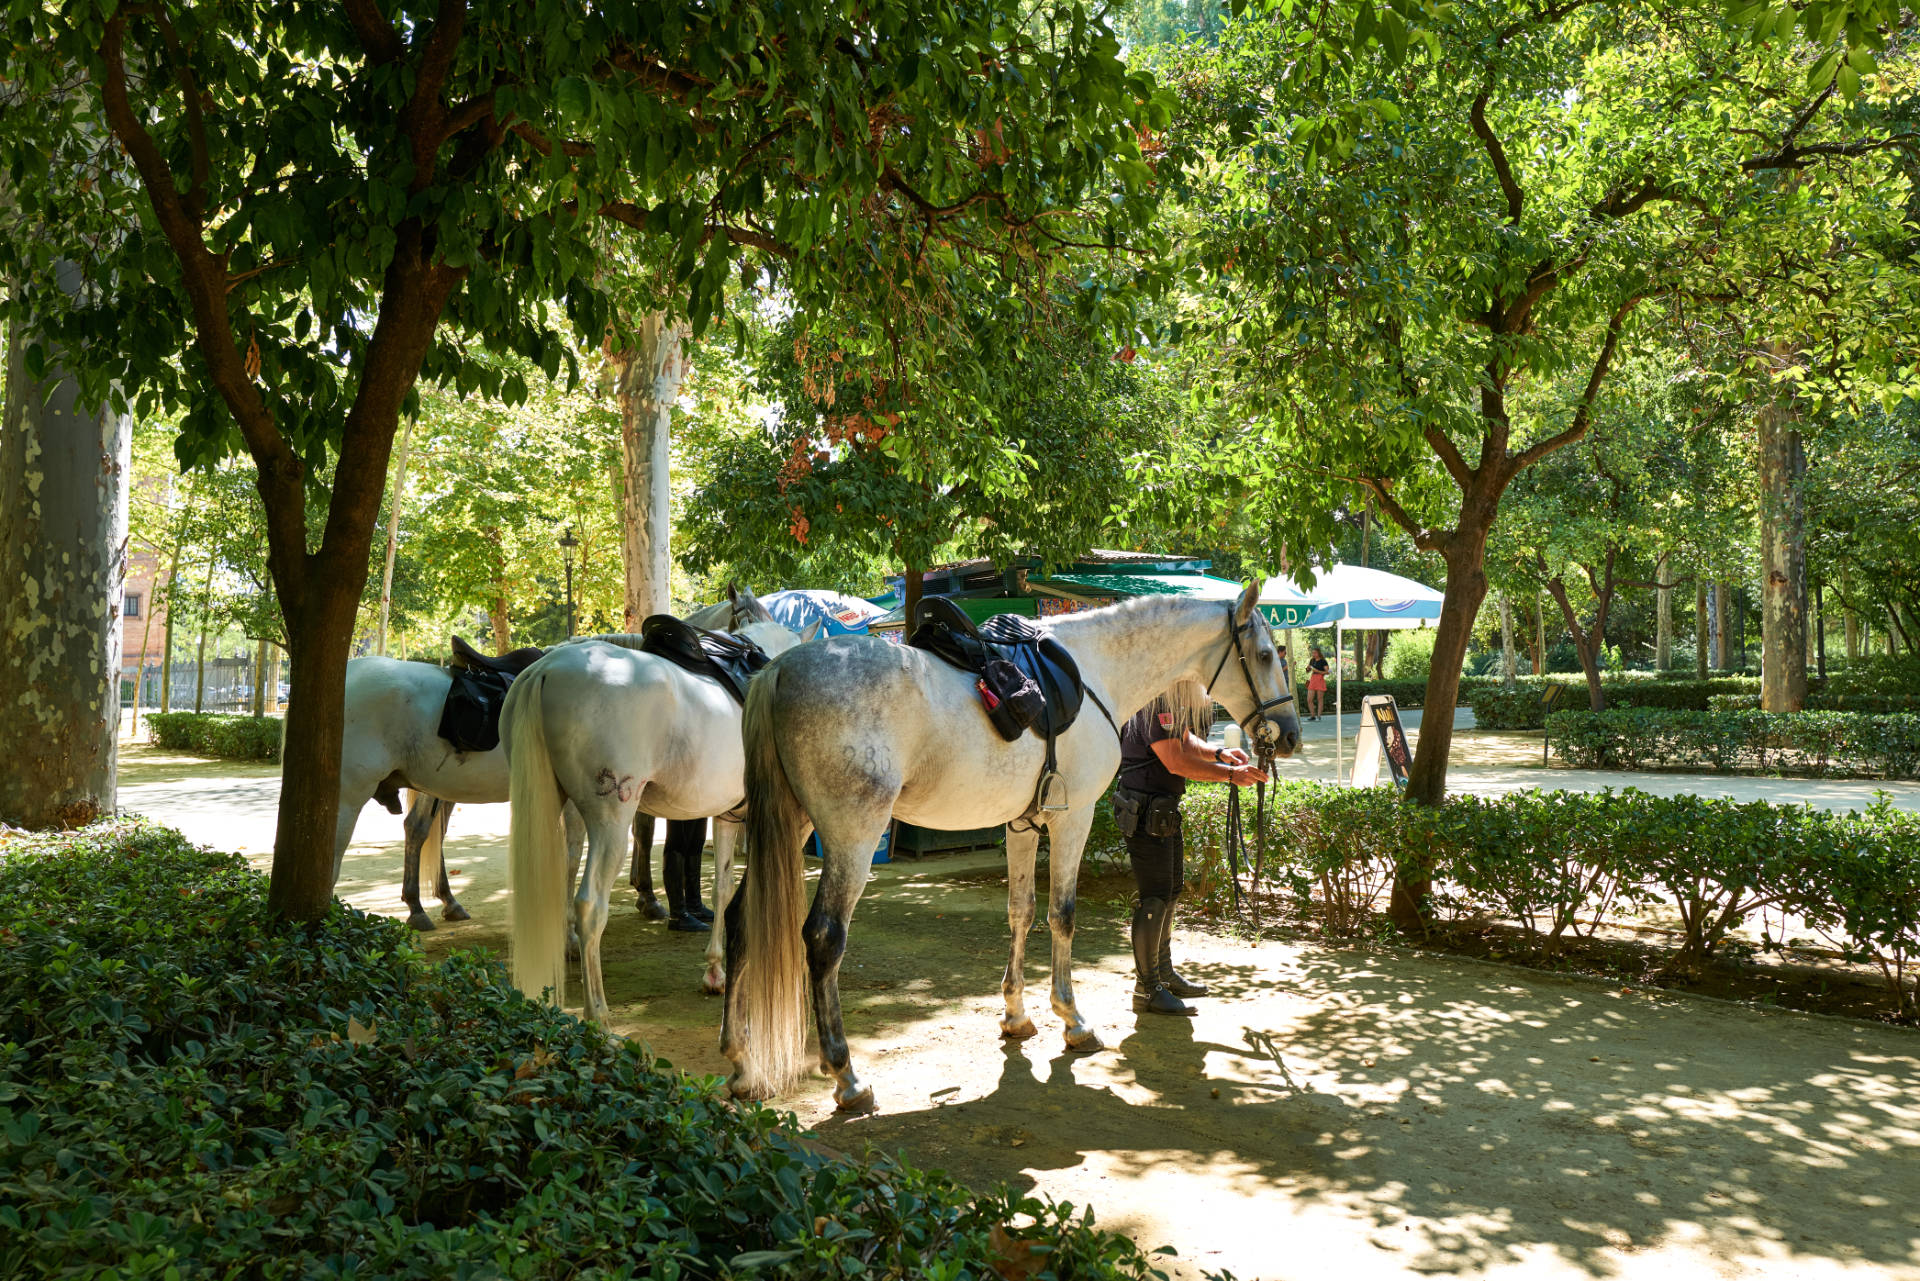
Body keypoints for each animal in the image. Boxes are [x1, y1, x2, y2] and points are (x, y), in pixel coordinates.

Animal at [503, 610, 810, 1021]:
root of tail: (544, 669)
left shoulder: (727, 818)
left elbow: (724, 886)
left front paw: (716, 971)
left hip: (560, 811)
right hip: (610, 822)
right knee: (590, 906)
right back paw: (598, 1014)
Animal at [721, 583, 1305, 1113]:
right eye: (1266, 655)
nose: (1290, 735)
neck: (1096, 672)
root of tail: (778, 671)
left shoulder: (1022, 826)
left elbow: (1020, 912)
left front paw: (1017, 1015)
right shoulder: (1073, 819)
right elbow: (1062, 914)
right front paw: (1072, 1020)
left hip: (794, 824)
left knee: (740, 921)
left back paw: (742, 1064)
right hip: (852, 837)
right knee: (824, 939)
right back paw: (846, 1077)